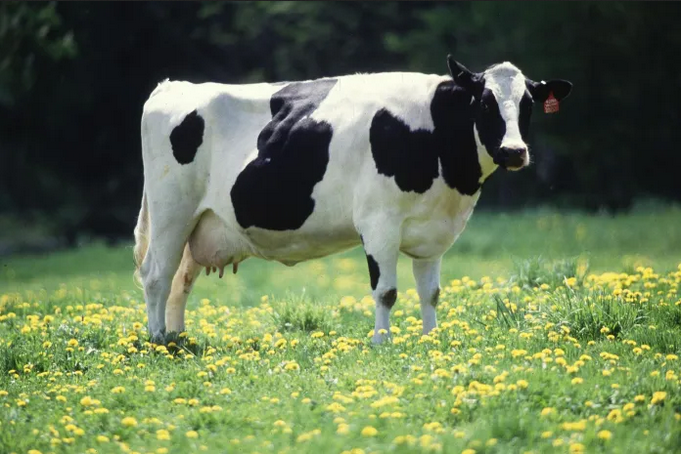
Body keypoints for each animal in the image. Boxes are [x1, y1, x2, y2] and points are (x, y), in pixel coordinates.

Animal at [133, 55, 572, 344]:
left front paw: (431, 339)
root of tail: (172, 86)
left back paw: (178, 338)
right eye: (484, 102)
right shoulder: (379, 222)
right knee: (156, 274)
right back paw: (158, 340)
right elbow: (387, 291)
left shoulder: (434, 231)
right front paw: (382, 342)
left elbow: (430, 292)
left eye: (528, 104)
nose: (514, 151)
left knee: (180, 280)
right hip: (171, 211)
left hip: (200, 223)